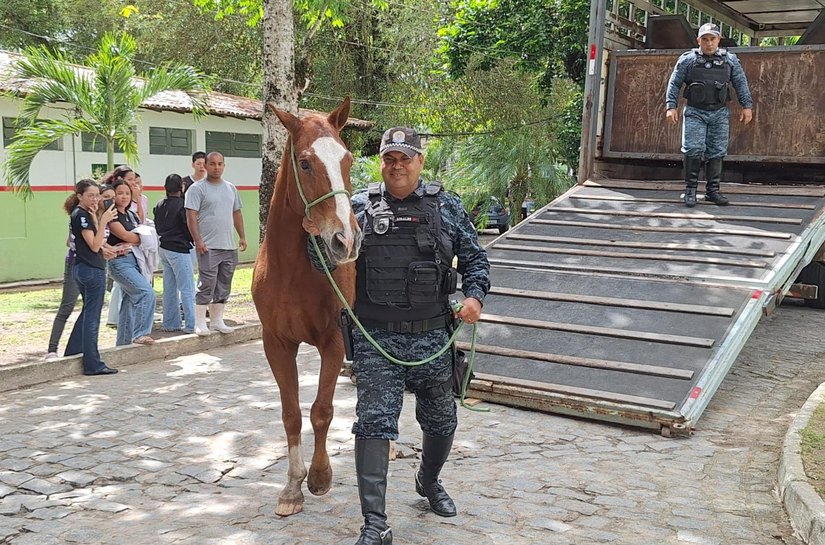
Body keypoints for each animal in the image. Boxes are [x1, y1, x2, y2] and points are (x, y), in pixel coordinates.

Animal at [251, 97, 362, 516]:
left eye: (347, 159)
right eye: (305, 162)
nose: (345, 241)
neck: (291, 272)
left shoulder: (334, 342)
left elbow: (321, 411)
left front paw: (319, 476)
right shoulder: (277, 344)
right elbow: (292, 414)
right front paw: (292, 487)